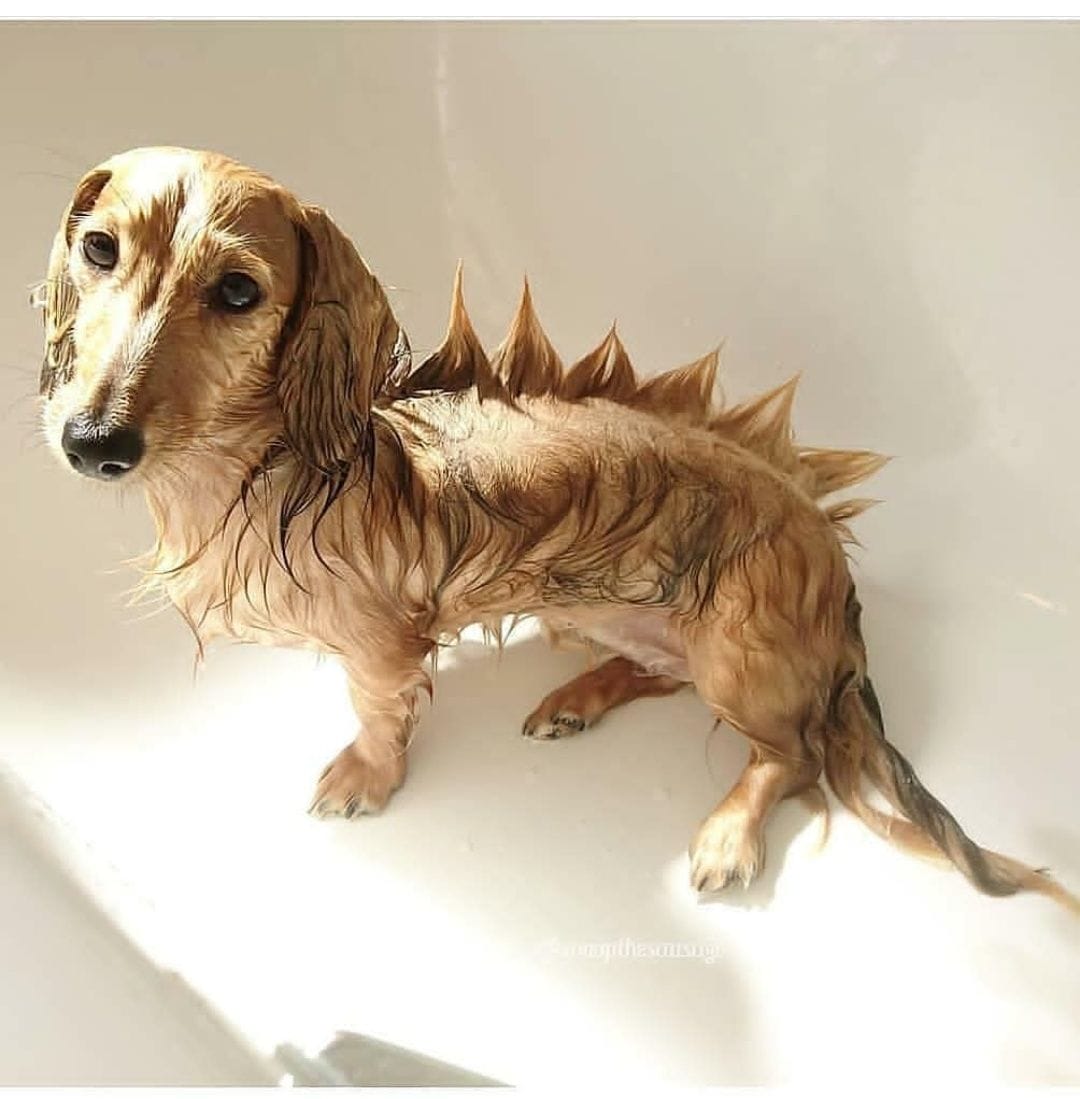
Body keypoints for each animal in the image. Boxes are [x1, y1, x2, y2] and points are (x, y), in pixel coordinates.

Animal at [37, 146, 1076, 908]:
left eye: (239, 291)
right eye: (100, 250)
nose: (94, 443)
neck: (257, 471)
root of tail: (838, 573)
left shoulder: (383, 639)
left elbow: (378, 712)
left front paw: (366, 776)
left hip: (738, 650)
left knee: (793, 756)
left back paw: (727, 830)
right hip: (612, 610)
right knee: (664, 674)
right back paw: (578, 696)